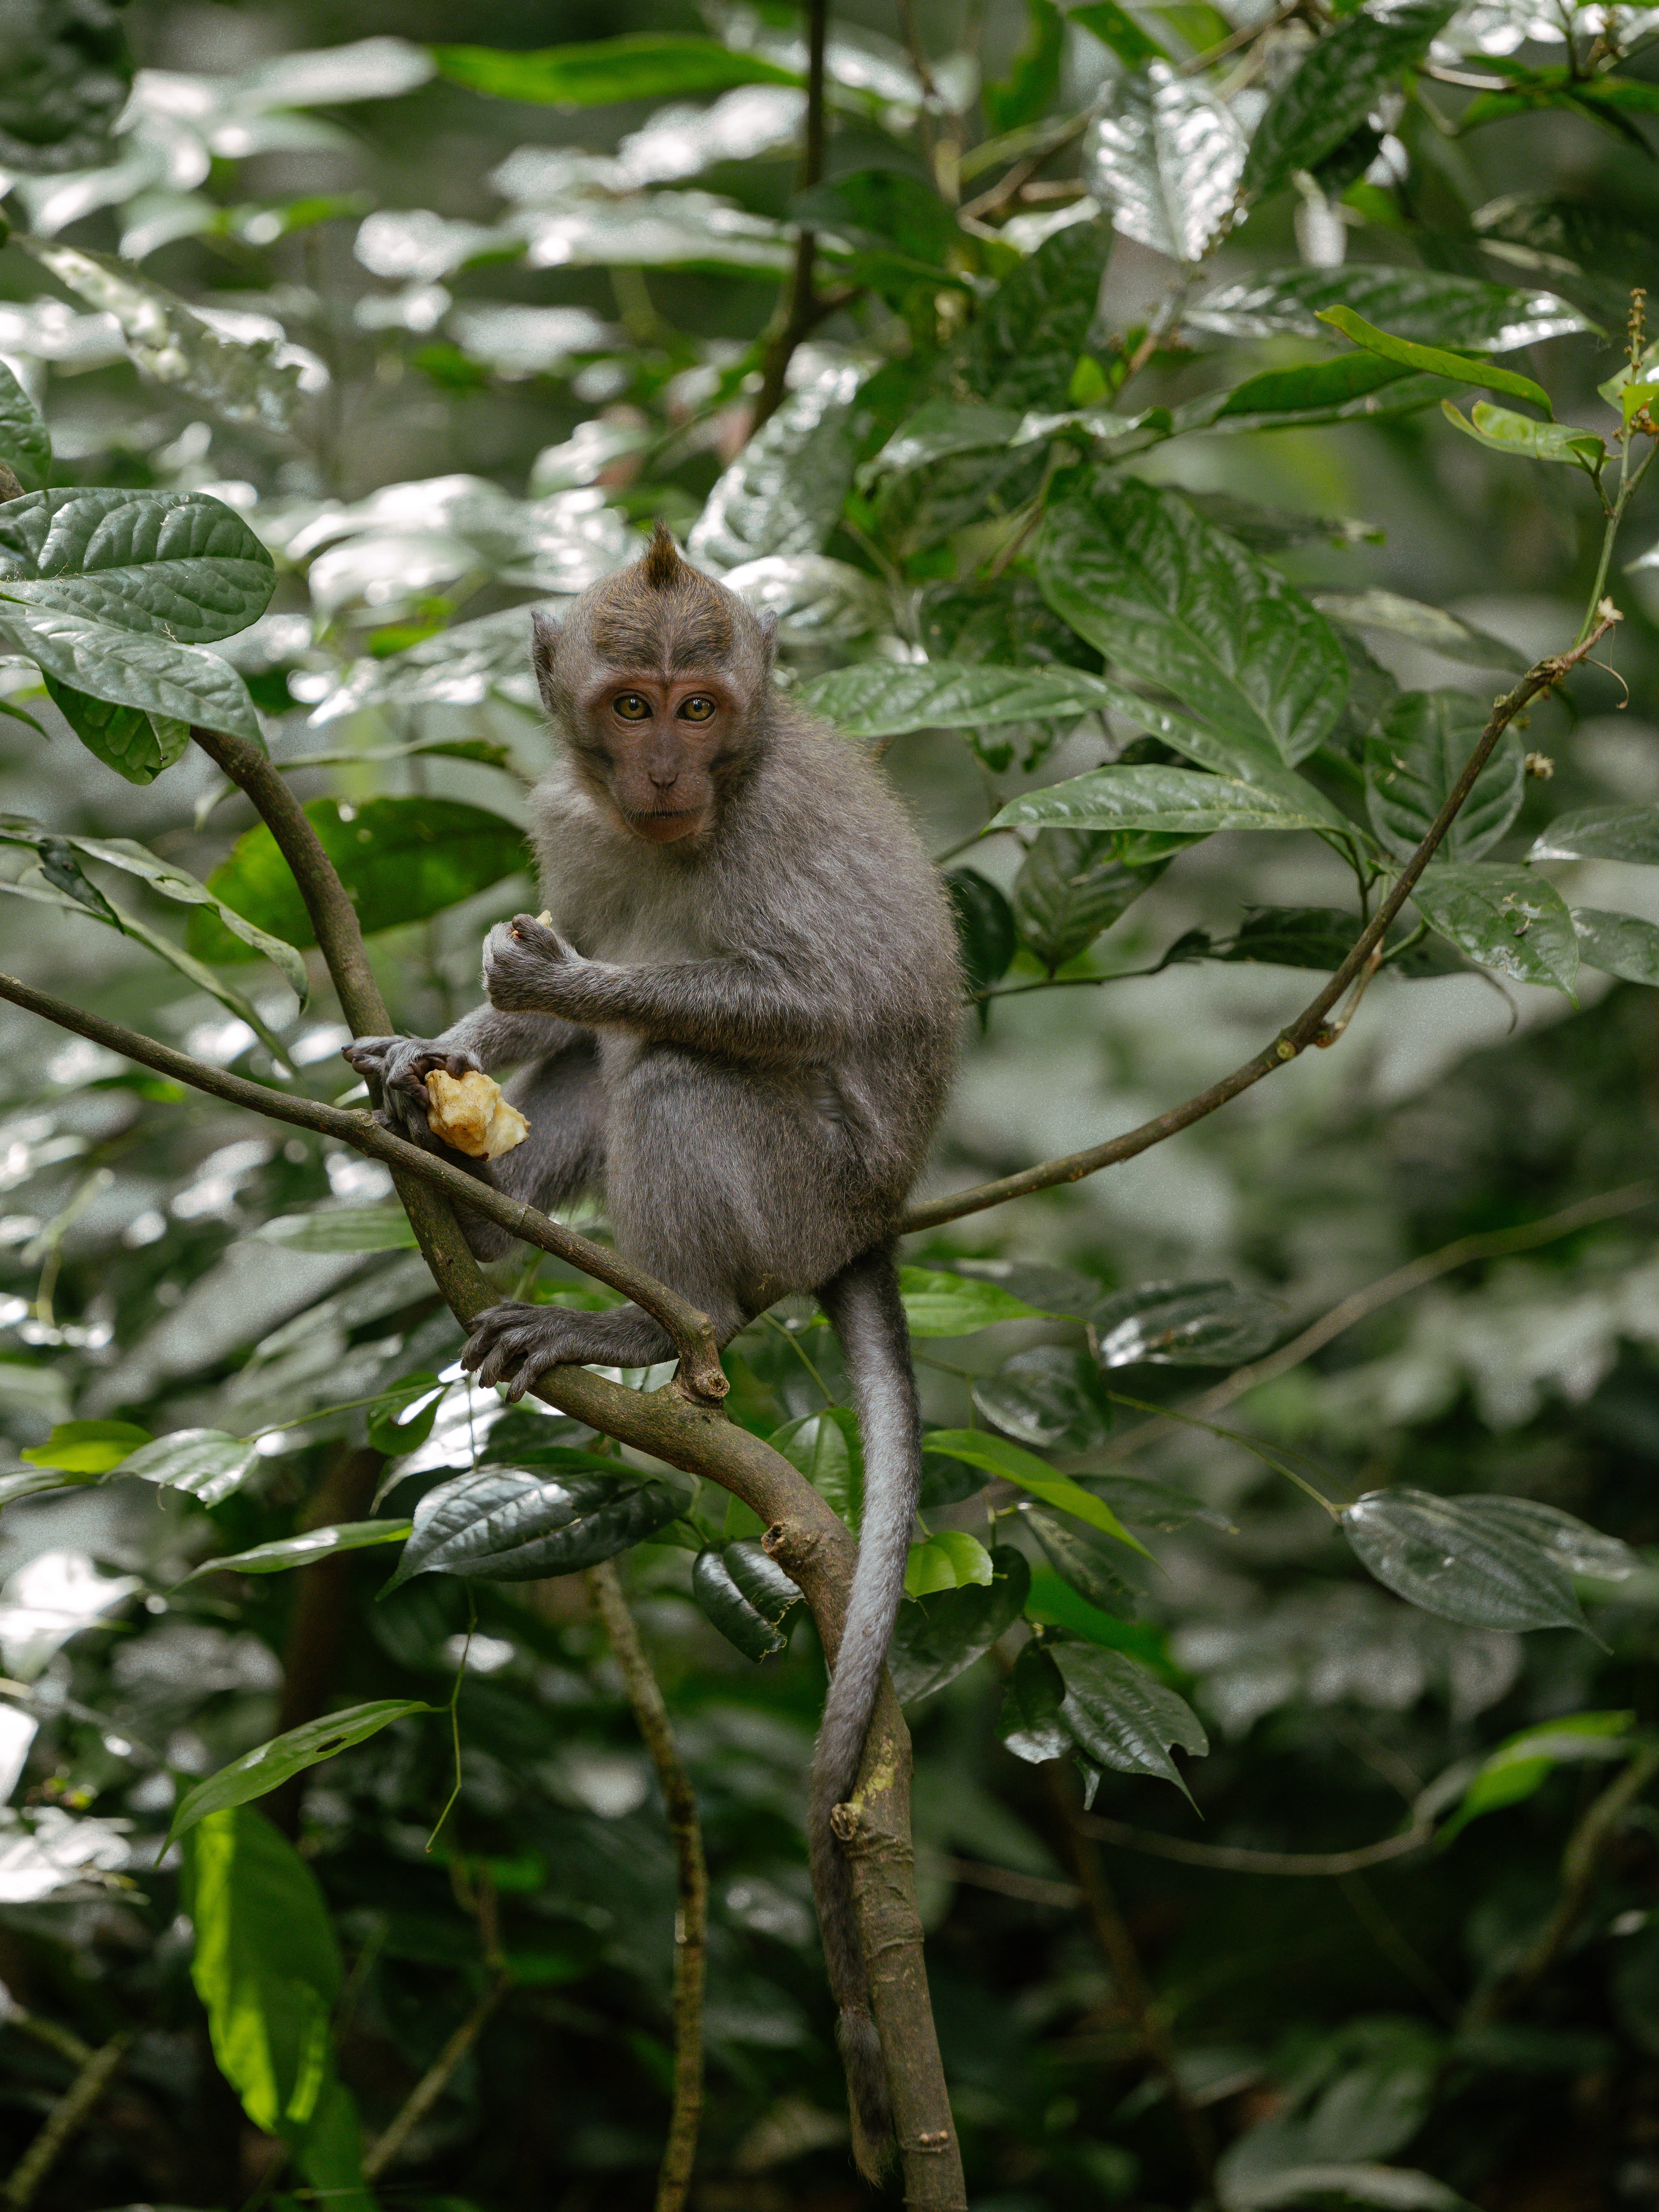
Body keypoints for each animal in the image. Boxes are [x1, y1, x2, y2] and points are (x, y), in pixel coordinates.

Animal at [347, 522, 960, 2176]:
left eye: (701, 706)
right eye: (629, 707)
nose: (670, 771)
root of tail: (874, 1225)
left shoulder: (777, 827)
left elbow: (804, 1002)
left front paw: (552, 980)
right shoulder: (573, 813)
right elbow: (536, 994)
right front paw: (433, 1052)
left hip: (801, 1189)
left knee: (676, 1062)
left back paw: (650, 1313)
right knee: (599, 1077)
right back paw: (472, 1200)